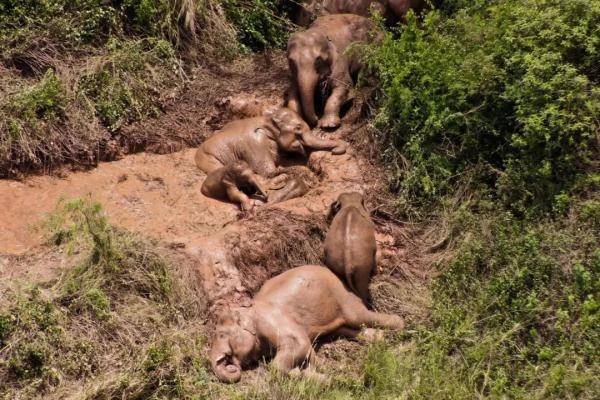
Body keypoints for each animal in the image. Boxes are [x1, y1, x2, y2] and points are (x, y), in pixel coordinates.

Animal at [196, 108, 346, 180]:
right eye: (298, 128)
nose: (335, 151)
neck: (267, 119)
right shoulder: (255, 144)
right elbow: (268, 172)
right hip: (209, 160)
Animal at [209, 264, 406, 382]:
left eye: (222, 334)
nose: (231, 366)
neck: (248, 309)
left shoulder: (272, 321)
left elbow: (298, 344)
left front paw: (304, 373)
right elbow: (307, 353)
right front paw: (318, 375)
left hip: (341, 295)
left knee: (359, 316)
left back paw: (400, 328)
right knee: (344, 328)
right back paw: (378, 339)